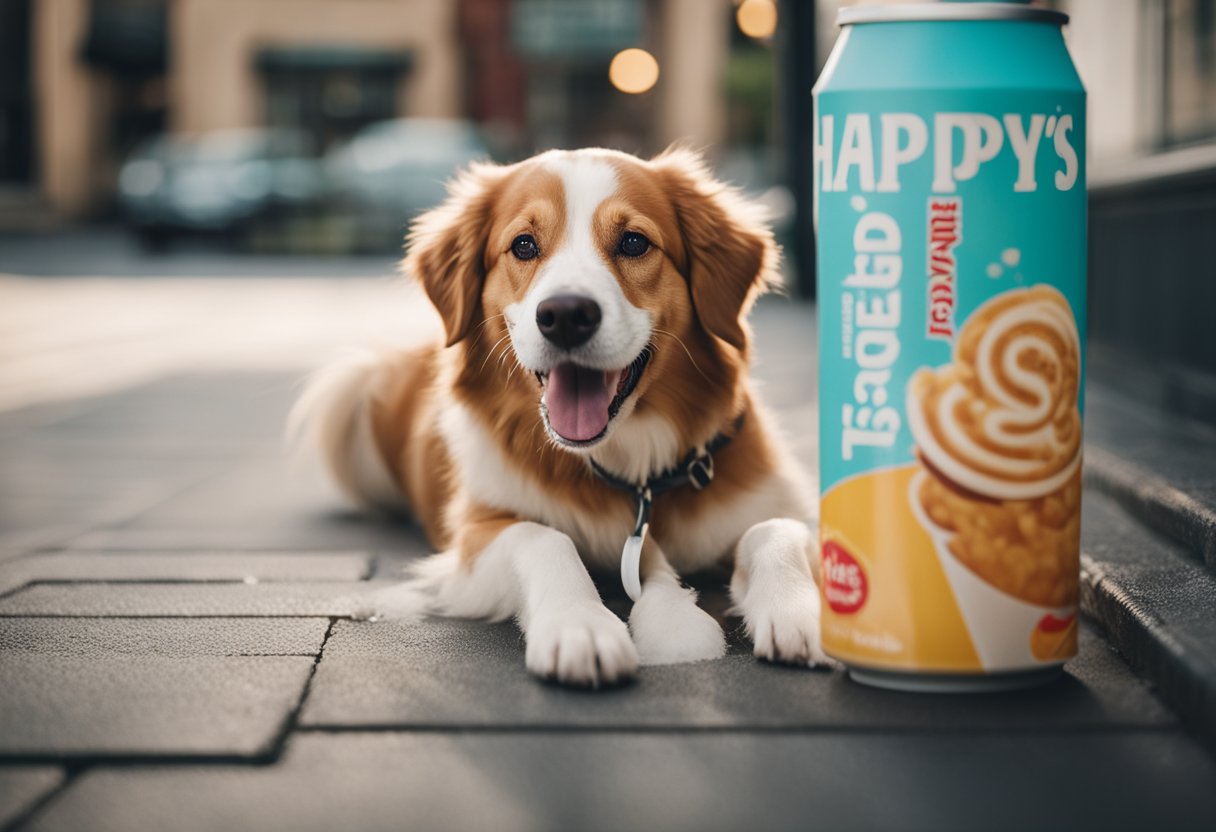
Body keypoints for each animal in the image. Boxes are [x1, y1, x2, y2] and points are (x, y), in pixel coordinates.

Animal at [291, 145, 826, 686]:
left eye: (634, 242)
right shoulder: (474, 538)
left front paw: (802, 612)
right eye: (524, 245)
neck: (632, 469)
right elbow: (543, 538)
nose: (566, 315)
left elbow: (775, 530)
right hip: (350, 396)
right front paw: (580, 626)